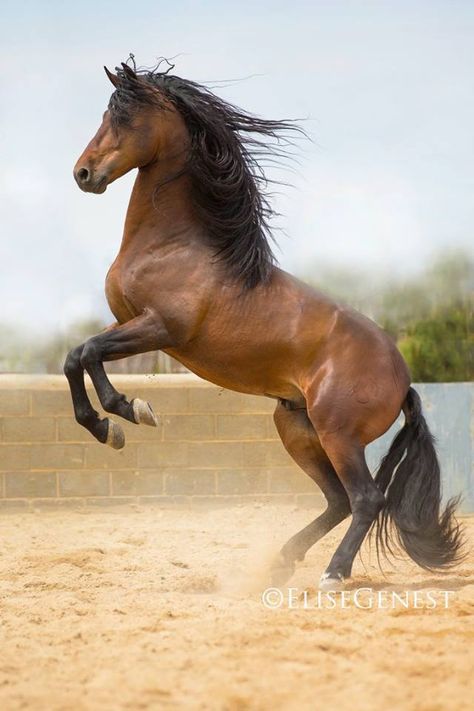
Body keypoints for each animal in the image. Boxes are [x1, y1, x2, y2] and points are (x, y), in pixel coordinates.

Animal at [64, 57, 462, 588]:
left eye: (124, 118)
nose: (83, 174)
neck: (175, 244)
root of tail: (403, 382)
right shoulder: (131, 325)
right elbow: (76, 357)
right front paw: (111, 424)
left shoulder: (160, 329)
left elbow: (86, 353)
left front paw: (128, 413)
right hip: (296, 427)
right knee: (337, 501)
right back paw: (279, 563)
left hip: (337, 434)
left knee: (366, 499)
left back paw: (333, 574)